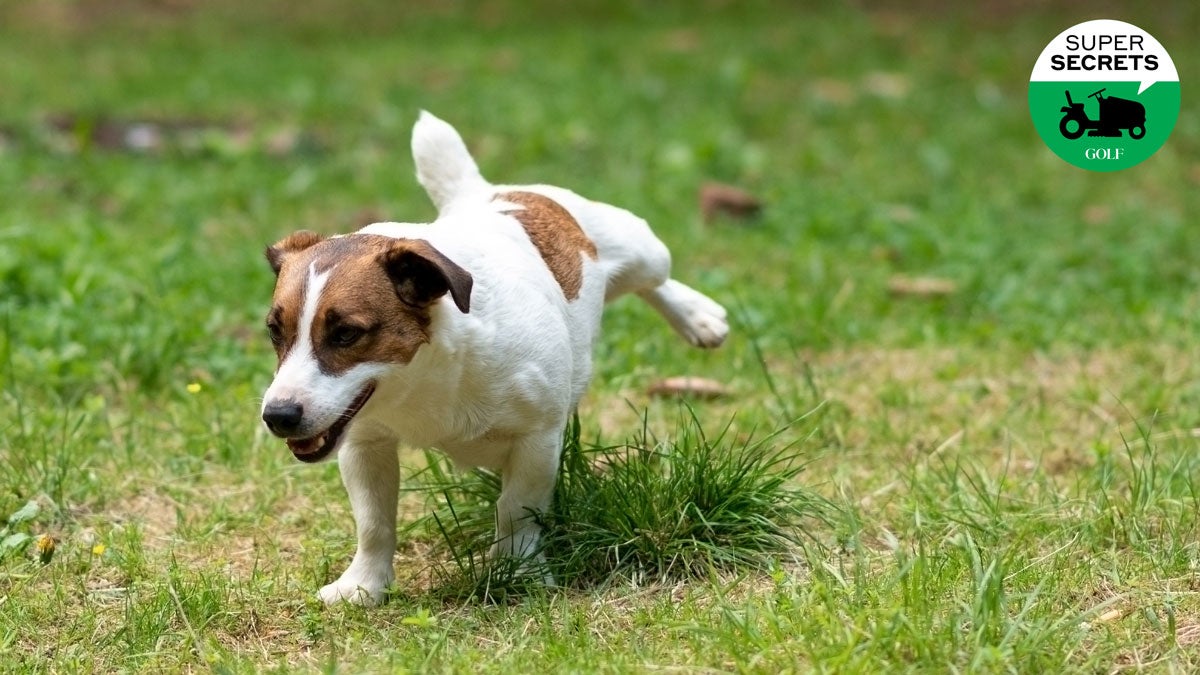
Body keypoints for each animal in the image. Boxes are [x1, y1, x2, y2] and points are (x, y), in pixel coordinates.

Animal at [261, 111, 724, 605]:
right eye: (274, 331)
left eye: (347, 333)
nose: (278, 416)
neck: (426, 374)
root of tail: (484, 193)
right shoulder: (365, 443)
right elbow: (374, 522)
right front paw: (363, 584)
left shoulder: (537, 439)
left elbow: (516, 511)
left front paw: (516, 570)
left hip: (641, 248)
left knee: (655, 278)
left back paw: (698, 316)